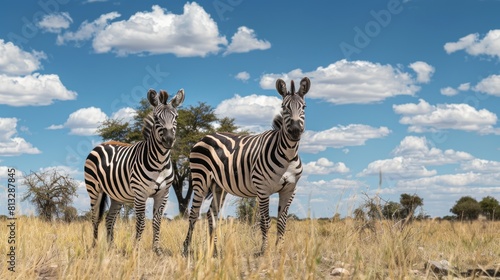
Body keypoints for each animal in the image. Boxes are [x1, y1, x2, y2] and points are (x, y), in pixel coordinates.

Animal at [85, 88, 185, 255]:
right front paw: (136, 249)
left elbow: (157, 222)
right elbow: (141, 223)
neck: (160, 162)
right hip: (94, 188)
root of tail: (102, 144)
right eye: (156, 118)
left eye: (176, 117)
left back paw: (111, 248)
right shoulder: (140, 193)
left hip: (116, 195)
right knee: (94, 218)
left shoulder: (163, 194)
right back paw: (94, 247)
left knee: (109, 219)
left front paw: (157, 250)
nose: (169, 140)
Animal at [182, 76, 310, 256]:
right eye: (284, 107)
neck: (288, 156)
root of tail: (205, 136)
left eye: (303, 107)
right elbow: (265, 222)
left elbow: (282, 222)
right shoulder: (263, 189)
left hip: (219, 186)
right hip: (201, 179)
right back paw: (186, 249)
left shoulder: (290, 190)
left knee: (211, 214)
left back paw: (215, 251)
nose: (295, 131)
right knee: (194, 214)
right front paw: (264, 251)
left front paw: (279, 250)